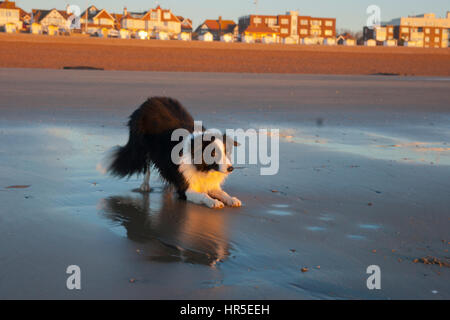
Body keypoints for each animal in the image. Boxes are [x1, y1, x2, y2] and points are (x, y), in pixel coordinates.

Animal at [105, 96, 241, 209]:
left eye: (226, 152)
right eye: (213, 153)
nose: (231, 168)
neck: (202, 167)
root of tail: (148, 101)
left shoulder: (209, 183)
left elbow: (222, 192)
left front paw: (232, 199)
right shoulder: (186, 189)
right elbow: (203, 195)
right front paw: (213, 201)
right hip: (143, 146)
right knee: (146, 166)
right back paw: (145, 185)